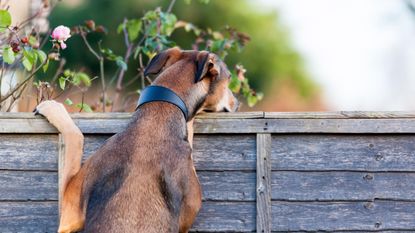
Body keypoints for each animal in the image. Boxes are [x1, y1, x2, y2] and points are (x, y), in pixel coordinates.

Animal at [35, 47, 239, 233]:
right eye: (229, 78)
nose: (237, 103)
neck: (162, 107)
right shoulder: (70, 213)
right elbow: (76, 135)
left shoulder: (70, 211)